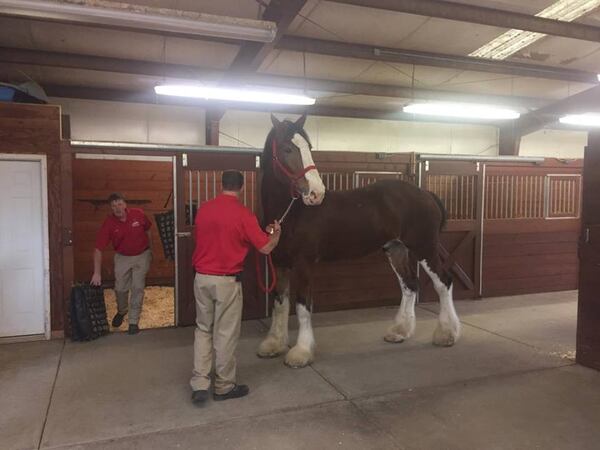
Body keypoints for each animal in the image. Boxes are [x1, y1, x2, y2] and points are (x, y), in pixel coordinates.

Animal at [256, 114, 460, 368]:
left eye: (308, 148)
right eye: (287, 149)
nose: (316, 193)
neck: (292, 214)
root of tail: (425, 194)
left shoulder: (303, 264)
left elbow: (302, 306)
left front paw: (301, 352)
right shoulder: (279, 263)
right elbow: (280, 304)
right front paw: (273, 344)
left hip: (425, 248)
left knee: (444, 282)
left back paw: (447, 334)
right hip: (396, 250)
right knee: (409, 285)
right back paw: (399, 332)